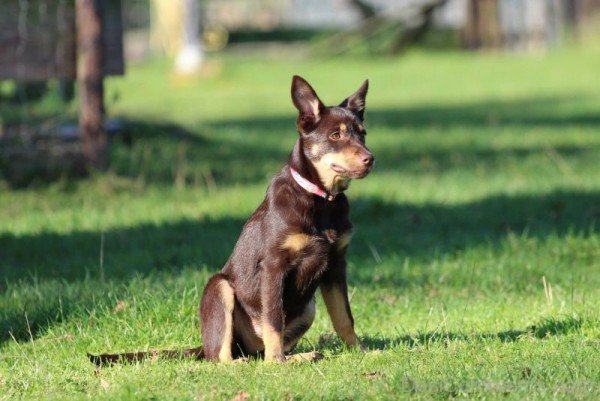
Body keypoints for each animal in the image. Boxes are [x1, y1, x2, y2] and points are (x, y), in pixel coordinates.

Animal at [89, 76, 372, 366]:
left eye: (362, 133)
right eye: (335, 135)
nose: (369, 159)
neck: (320, 199)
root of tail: (205, 346)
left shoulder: (336, 264)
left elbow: (344, 317)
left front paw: (361, 351)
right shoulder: (274, 266)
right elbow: (274, 320)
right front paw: (277, 362)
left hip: (307, 307)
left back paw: (299, 356)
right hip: (220, 287)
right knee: (222, 357)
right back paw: (264, 360)